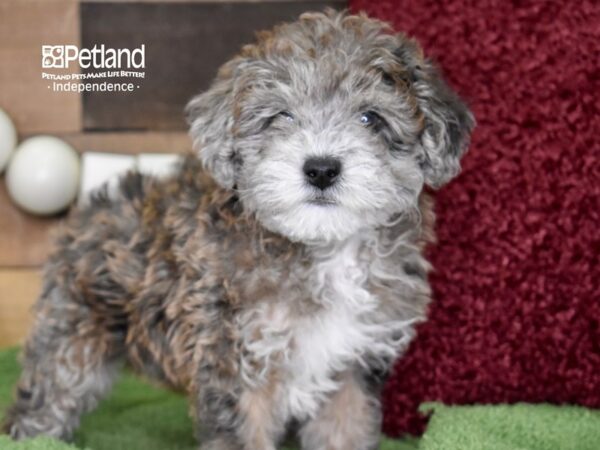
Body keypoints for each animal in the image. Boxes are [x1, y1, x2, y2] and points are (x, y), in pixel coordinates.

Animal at [3, 10, 474, 450]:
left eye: (370, 118)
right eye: (281, 116)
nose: (321, 168)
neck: (322, 249)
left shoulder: (352, 367)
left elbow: (345, 431)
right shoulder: (235, 361)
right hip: (74, 328)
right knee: (50, 388)